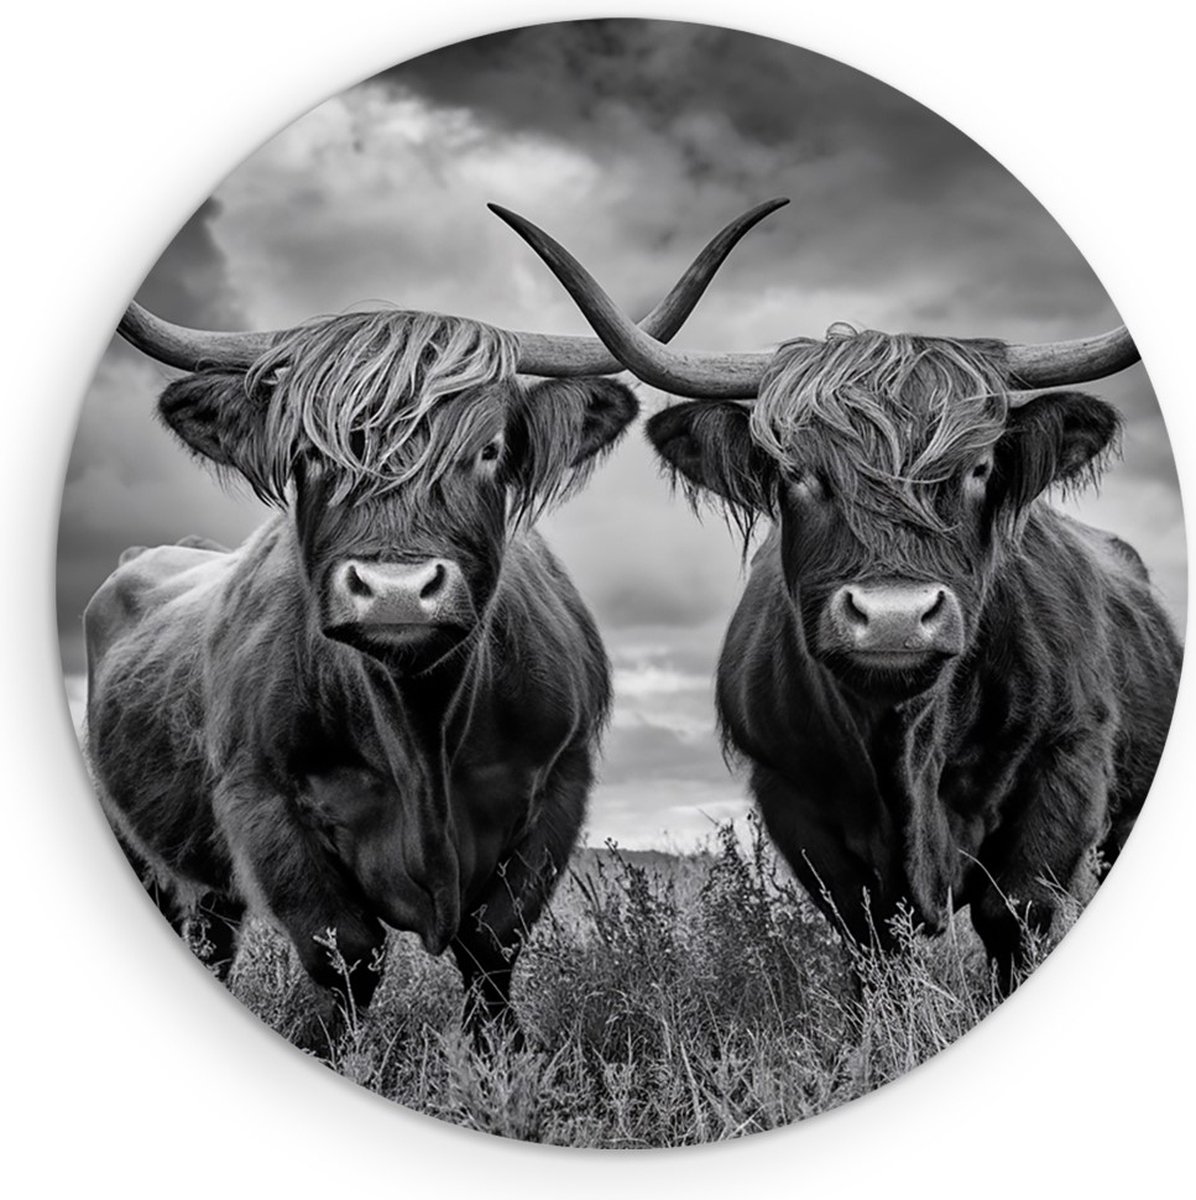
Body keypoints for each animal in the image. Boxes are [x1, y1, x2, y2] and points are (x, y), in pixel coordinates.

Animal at [83, 199, 787, 1045]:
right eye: (308, 457)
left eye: (490, 450)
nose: (393, 590)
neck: (421, 731)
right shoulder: (263, 804)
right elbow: (346, 957)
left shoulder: (558, 792)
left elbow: (490, 947)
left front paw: (499, 1061)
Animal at [490, 205, 1183, 991]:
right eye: (796, 471)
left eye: (980, 467)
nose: (893, 618)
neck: (906, 744)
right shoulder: (796, 801)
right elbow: (868, 939)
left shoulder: (1066, 769)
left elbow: (1014, 917)